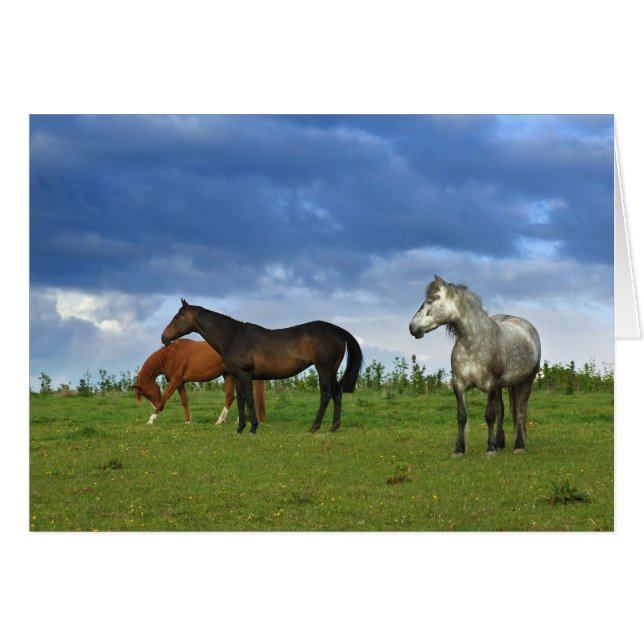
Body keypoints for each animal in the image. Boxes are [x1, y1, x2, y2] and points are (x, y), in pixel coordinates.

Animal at [133, 338, 266, 426]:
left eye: (148, 393)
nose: (160, 409)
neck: (170, 356)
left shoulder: (174, 382)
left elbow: (164, 398)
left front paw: (151, 420)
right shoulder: (180, 383)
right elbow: (184, 401)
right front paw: (188, 421)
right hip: (228, 375)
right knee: (230, 397)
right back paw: (222, 420)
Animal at [161, 299, 363, 434]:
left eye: (177, 317)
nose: (163, 337)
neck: (233, 337)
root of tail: (338, 330)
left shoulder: (245, 374)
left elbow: (250, 399)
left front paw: (253, 427)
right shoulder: (236, 376)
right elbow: (240, 400)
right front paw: (240, 428)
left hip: (324, 369)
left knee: (326, 395)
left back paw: (314, 427)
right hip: (332, 370)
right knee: (337, 394)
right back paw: (333, 427)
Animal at [409, 275, 541, 456]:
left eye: (431, 299)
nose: (412, 327)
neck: (473, 343)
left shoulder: (491, 384)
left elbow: (489, 415)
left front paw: (490, 449)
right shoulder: (459, 384)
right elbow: (462, 416)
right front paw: (459, 449)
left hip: (525, 381)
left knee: (519, 411)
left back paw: (518, 446)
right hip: (501, 386)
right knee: (501, 411)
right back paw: (500, 443)